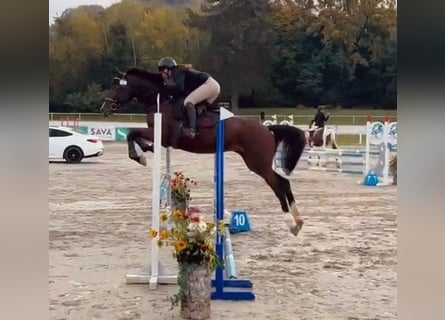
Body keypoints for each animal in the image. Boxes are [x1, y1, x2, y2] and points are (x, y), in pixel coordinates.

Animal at [99, 67, 306, 236]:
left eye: (116, 89)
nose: (104, 109)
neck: (160, 101)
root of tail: (267, 129)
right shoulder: (162, 139)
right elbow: (140, 140)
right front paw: (143, 153)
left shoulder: (163, 135)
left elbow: (131, 133)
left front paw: (138, 157)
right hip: (256, 162)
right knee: (284, 182)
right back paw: (298, 221)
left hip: (258, 163)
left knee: (277, 184)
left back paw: (290, 221)